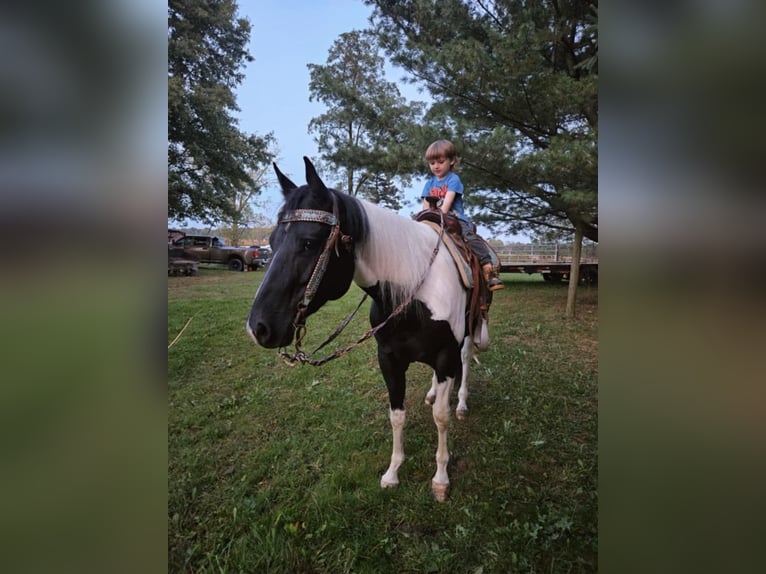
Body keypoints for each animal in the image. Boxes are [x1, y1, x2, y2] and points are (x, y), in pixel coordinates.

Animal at [247, 157, 490, 501]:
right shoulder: (388, 358)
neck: (414, 292)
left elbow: (441, 418)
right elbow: (397, 414)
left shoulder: (445, 354)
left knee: (466, 362)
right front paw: (393, 472)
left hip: (468, 334)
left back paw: (463, 403)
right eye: (270, 242)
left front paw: (441, 479)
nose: (258, 327)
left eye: (308, 242)